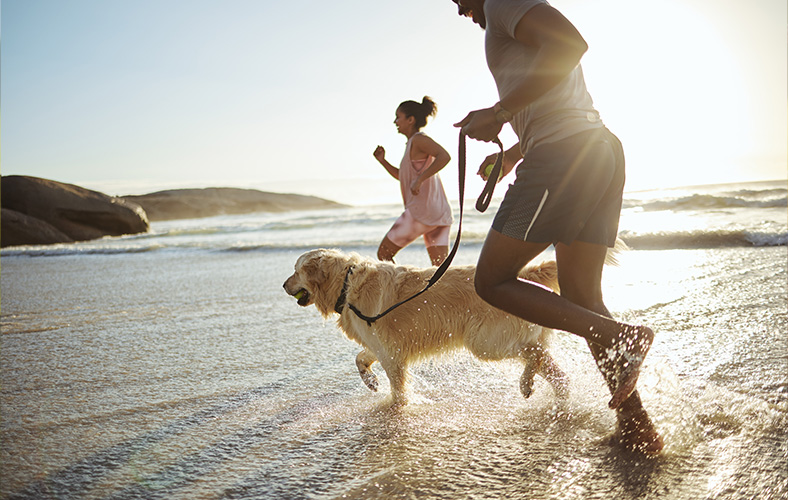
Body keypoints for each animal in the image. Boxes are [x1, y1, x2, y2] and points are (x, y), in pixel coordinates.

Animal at [284, 248, 568, 404]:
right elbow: (360, 357)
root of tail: (526, 274)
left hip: (484, 342)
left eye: (296, 271)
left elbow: (398, 391)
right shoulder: (380, 343)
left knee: (534, 353)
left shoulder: (390, 354)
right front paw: (371, 381)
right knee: (555, 370)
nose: (284, 285)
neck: (346, 283)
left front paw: (398, 406)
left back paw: (526, 383)